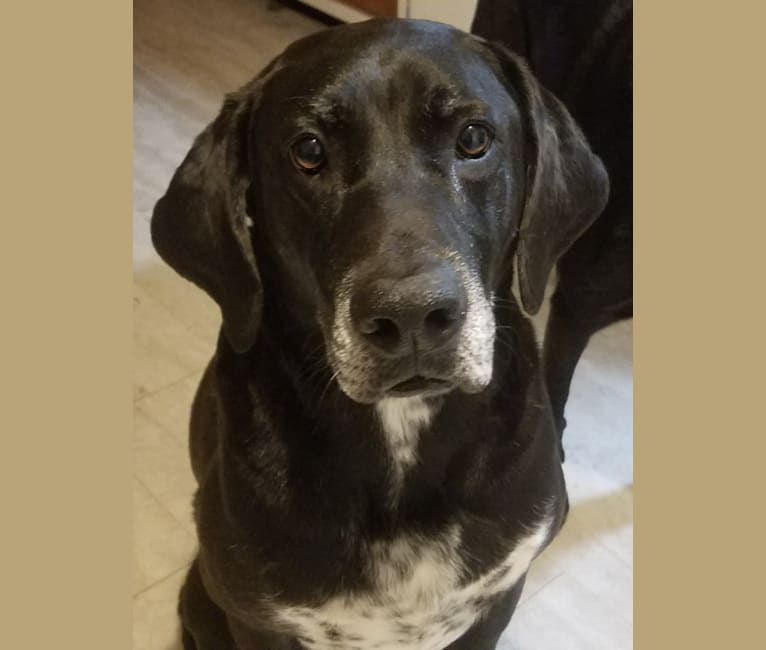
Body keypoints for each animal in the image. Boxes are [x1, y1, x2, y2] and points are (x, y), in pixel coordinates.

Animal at [153, 17, 612, 644]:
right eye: (309, 151)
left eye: (474, 138)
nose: (412, 315)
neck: (400, 435)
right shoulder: (256, 619)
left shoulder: (498, 595)